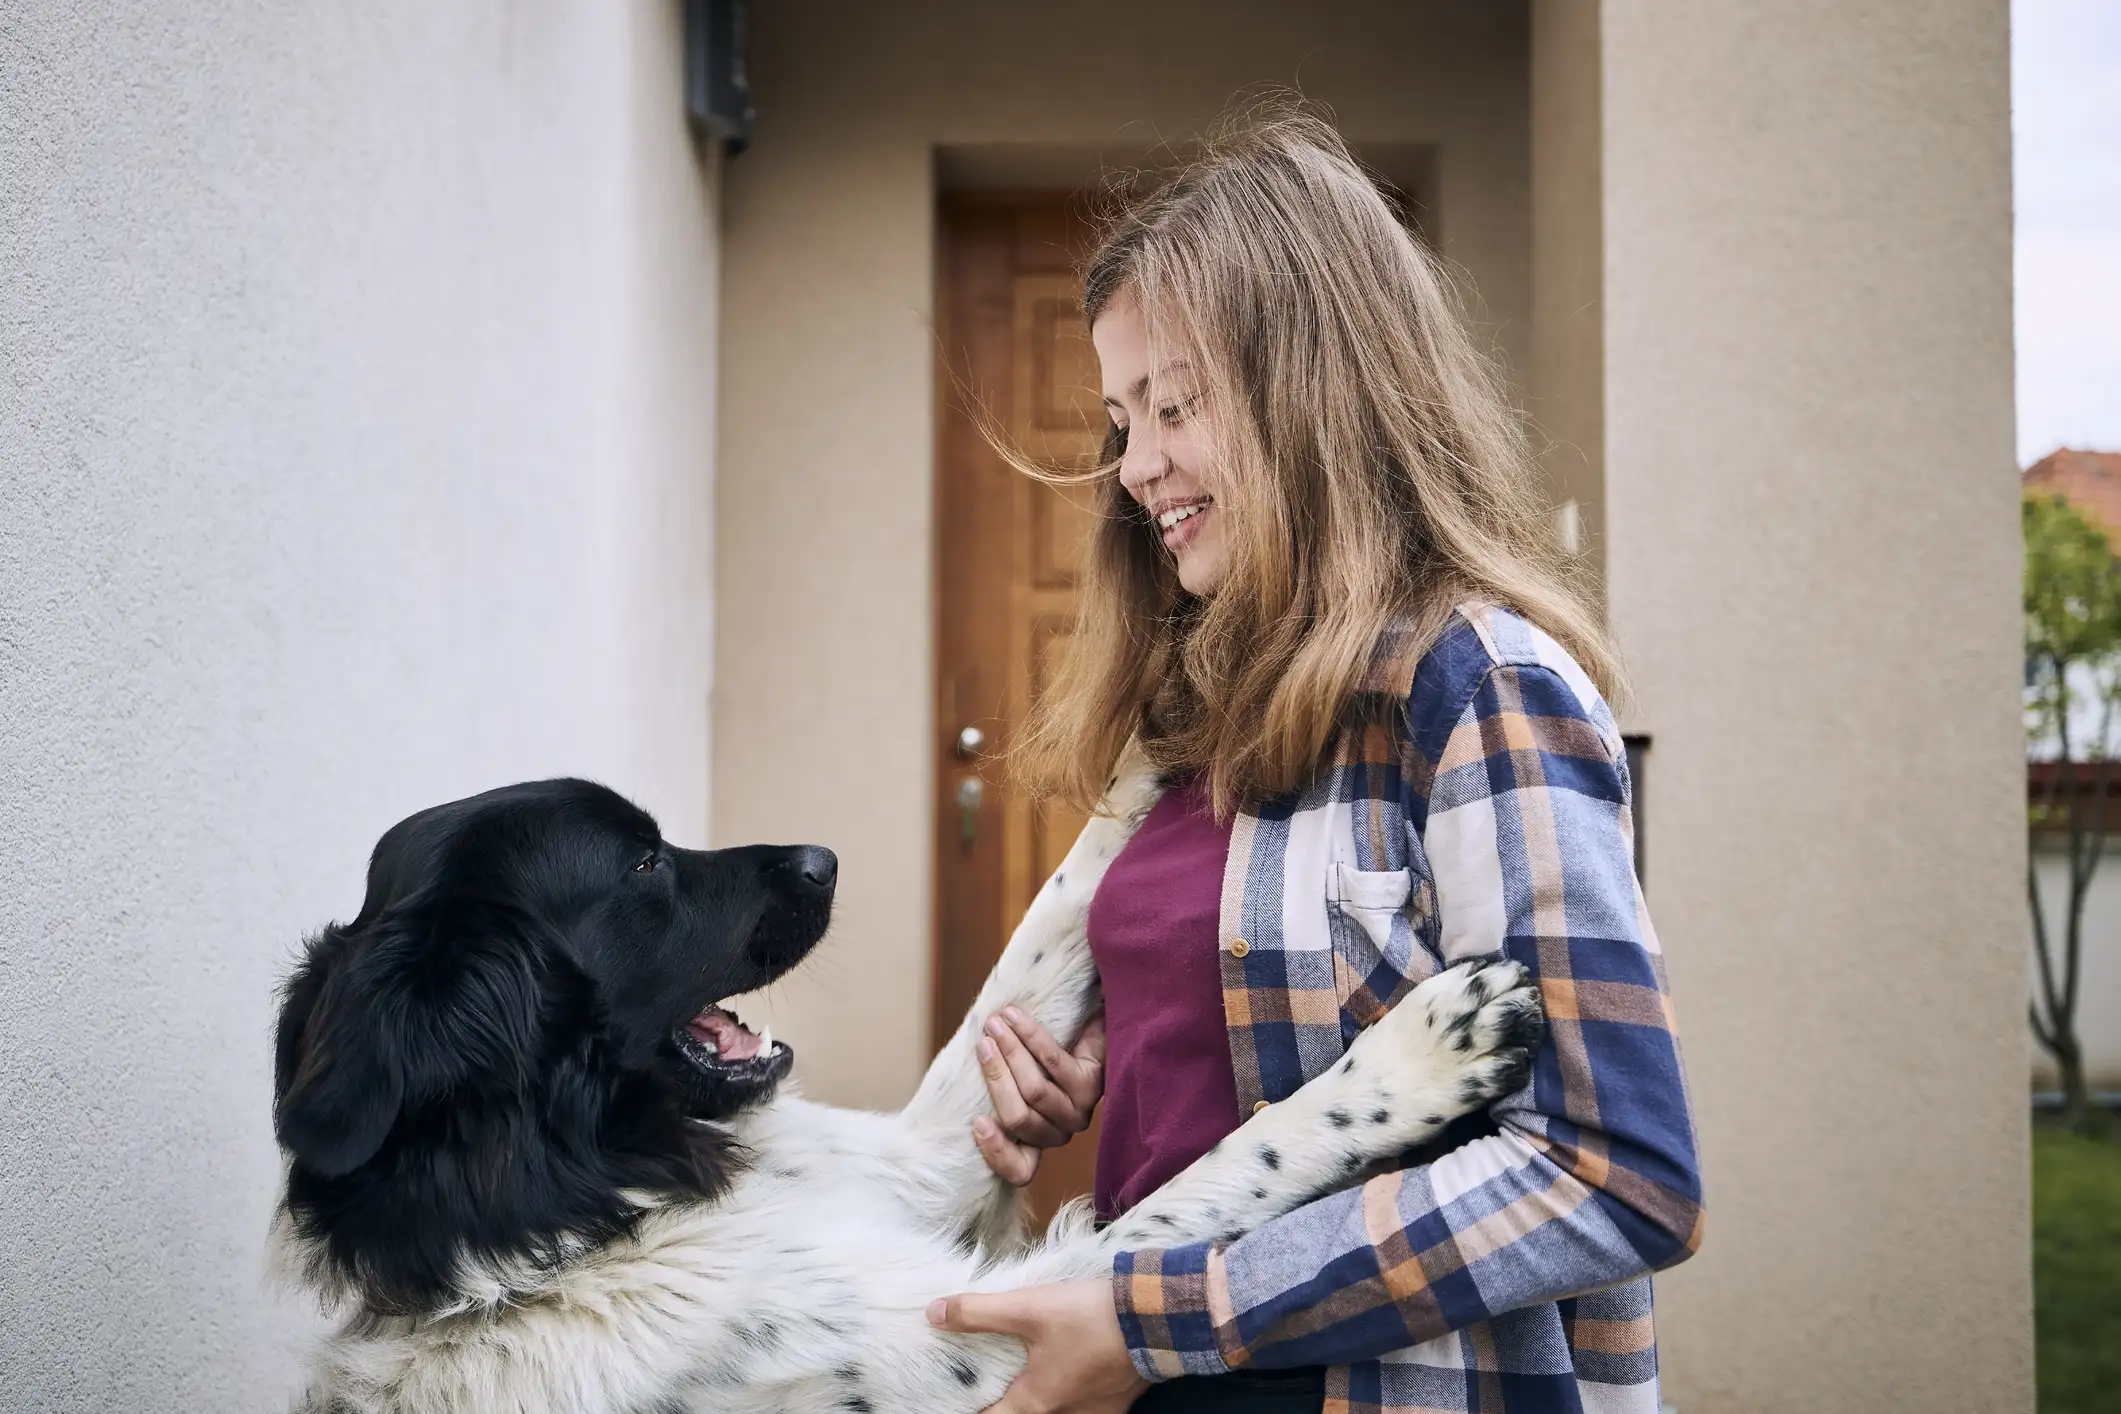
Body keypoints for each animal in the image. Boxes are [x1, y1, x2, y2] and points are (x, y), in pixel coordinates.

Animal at [277, 758, 1544, 1407]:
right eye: (641, 864)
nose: (824, 859)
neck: (580, 1193)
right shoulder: (985, 1333)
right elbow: (1228, 1170)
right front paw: (1423, 1053)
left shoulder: (907, 1165)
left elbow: (1041, 934)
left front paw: (1162, 720)